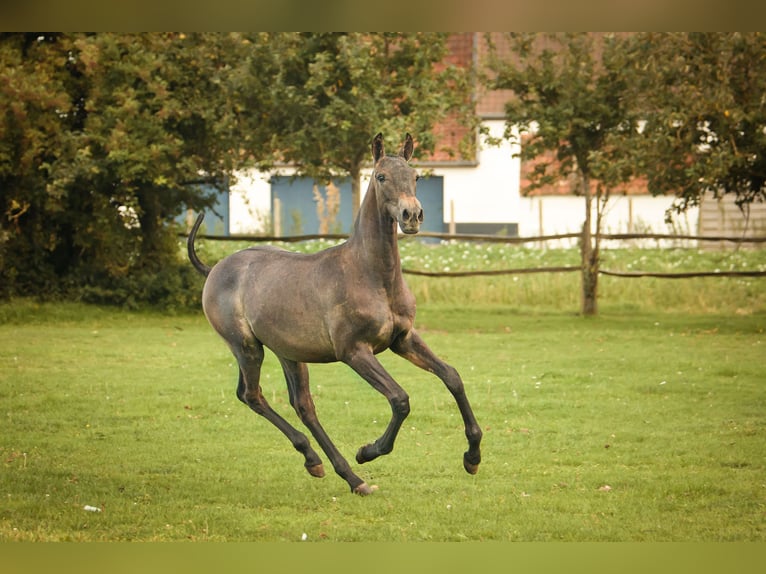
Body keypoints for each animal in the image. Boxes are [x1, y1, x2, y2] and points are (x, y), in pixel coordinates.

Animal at [188, 134, 484, 496]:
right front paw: (368, 451)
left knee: (302, 404)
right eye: (380, 176)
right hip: (246, 347)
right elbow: (400, 399)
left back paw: (329, 468)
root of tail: (214, 269)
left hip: (288, 353)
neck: (371, 275)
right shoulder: (354, 351)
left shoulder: (403, 339)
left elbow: (452, 377)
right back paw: (345, 471)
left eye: (415, 176)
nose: (412, 214)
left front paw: (472, 457)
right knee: (253, 395)